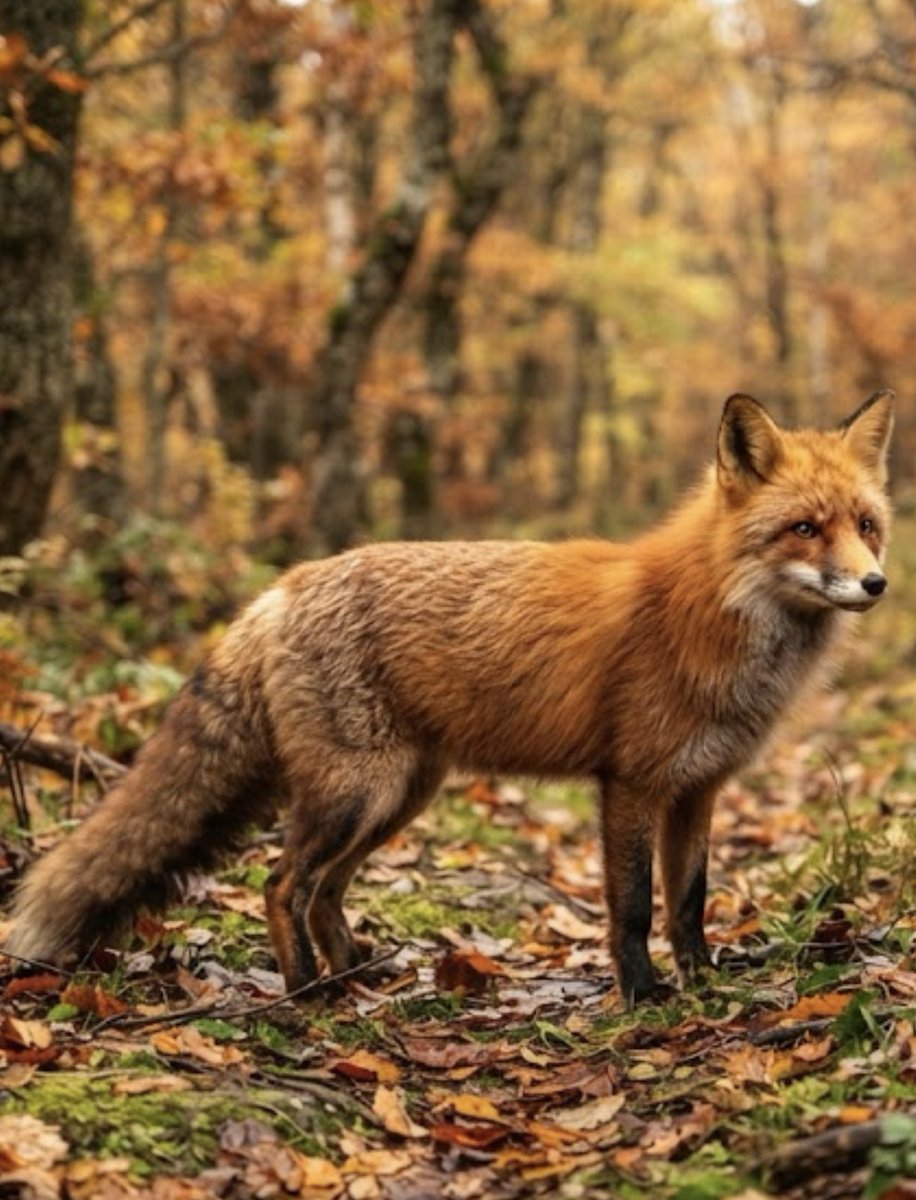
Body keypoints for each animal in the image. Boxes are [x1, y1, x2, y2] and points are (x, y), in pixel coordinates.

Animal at [3, 391, 894, 1006]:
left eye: (866, 525)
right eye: (805, 529)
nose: (876, 584)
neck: (715, 611)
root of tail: (282, 586)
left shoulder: (698, 789)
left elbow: (690, 904)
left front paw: (705, 982)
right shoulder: (632, 785)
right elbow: (636, 908)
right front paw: (643, 996)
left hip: (398, 796)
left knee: (324, 889)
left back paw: (356, 972)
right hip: (356, 795)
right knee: (282, 884)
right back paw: (307, 994)